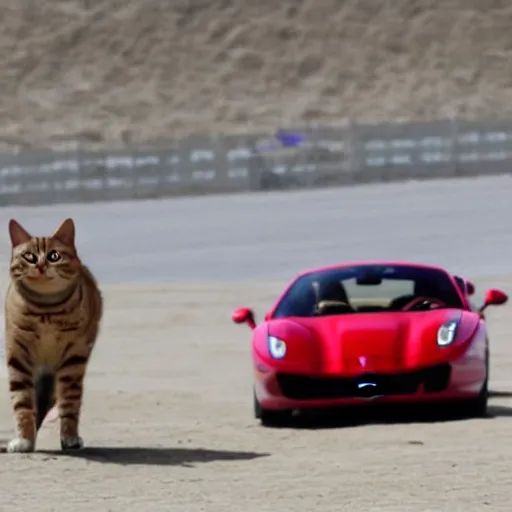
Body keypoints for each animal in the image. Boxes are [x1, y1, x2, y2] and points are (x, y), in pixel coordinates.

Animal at [3, 217, 102, 452]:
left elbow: (70, 402)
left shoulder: (74, 358)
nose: (40, 266)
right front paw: (24, 439)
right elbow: (22, 401)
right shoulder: (18, 355)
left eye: (54, 256)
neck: (45, 309)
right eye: (29, 257)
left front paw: (69, 436)